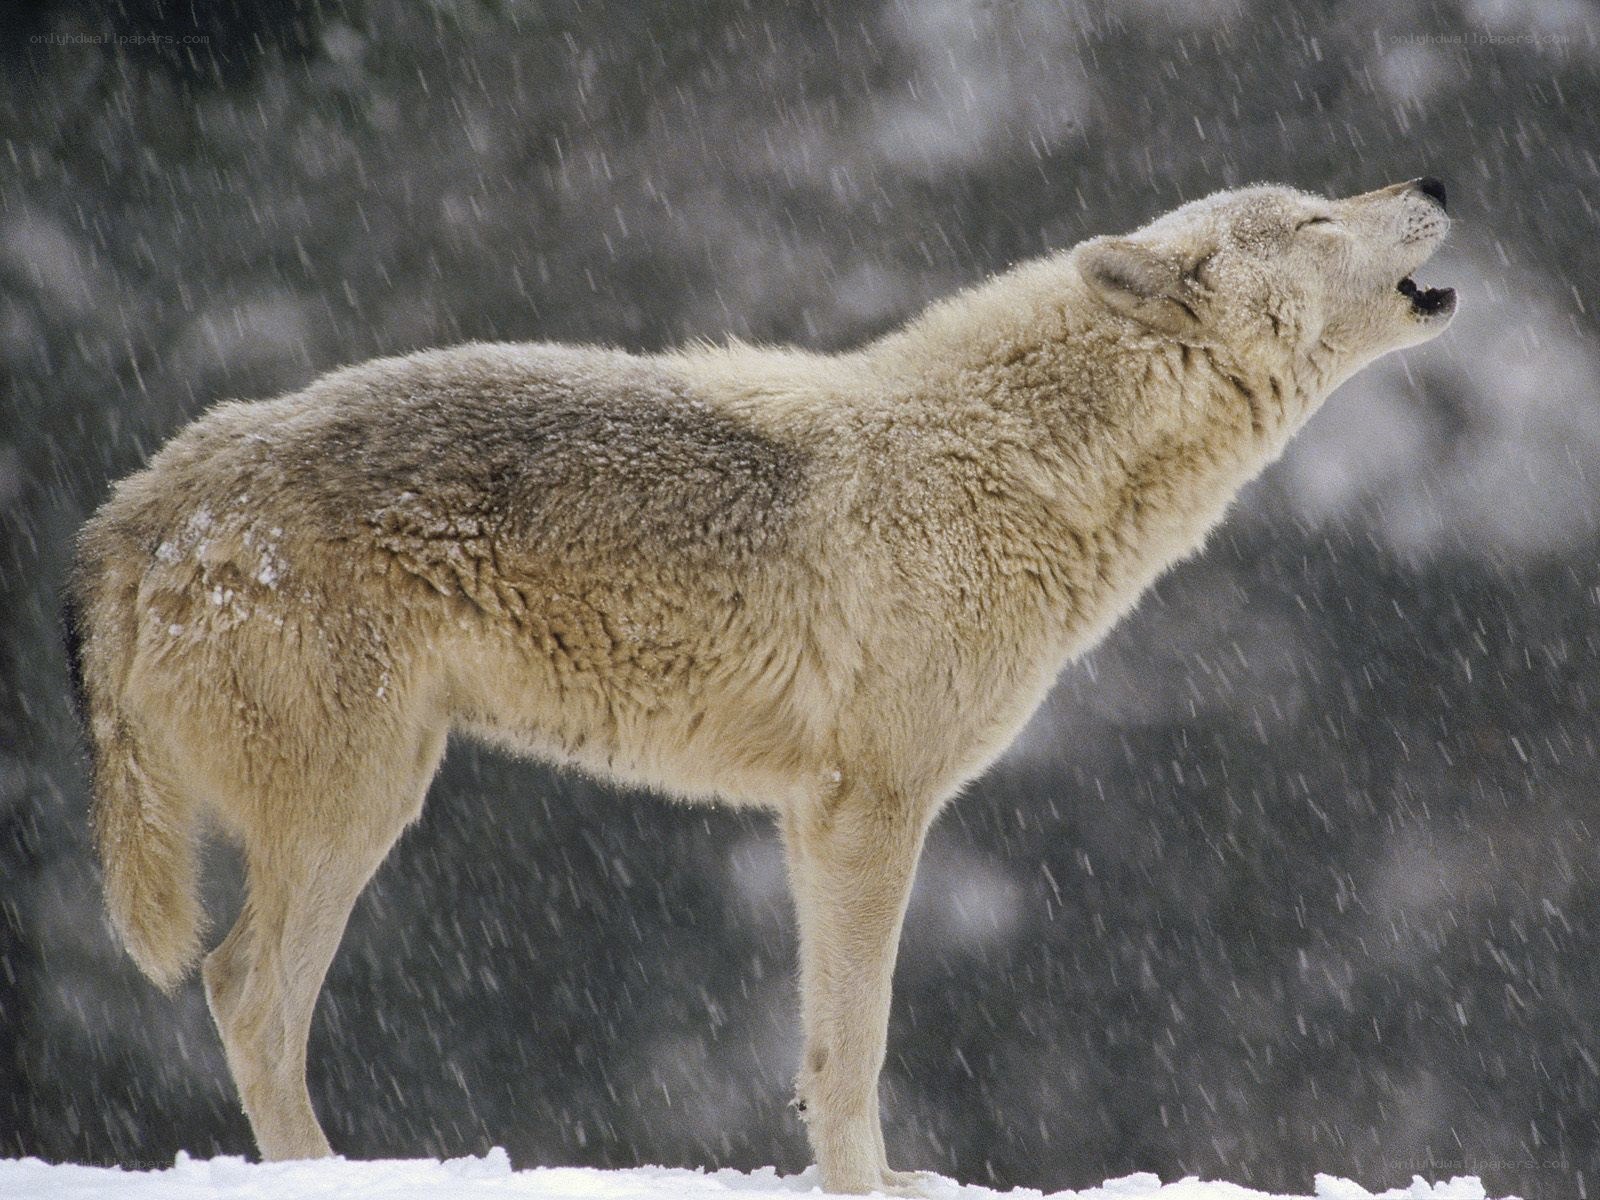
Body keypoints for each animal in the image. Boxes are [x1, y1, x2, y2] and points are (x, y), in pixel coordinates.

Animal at [69, 178, 1455, 1194]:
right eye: (1316, 217)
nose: (1434, 180)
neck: (1010, 461)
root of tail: (148, 498)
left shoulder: (810, 816)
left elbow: (821, 1042)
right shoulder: (874, 807)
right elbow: (861, 1043)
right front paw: (866, 1186)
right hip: (357, 809)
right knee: (246, 993)